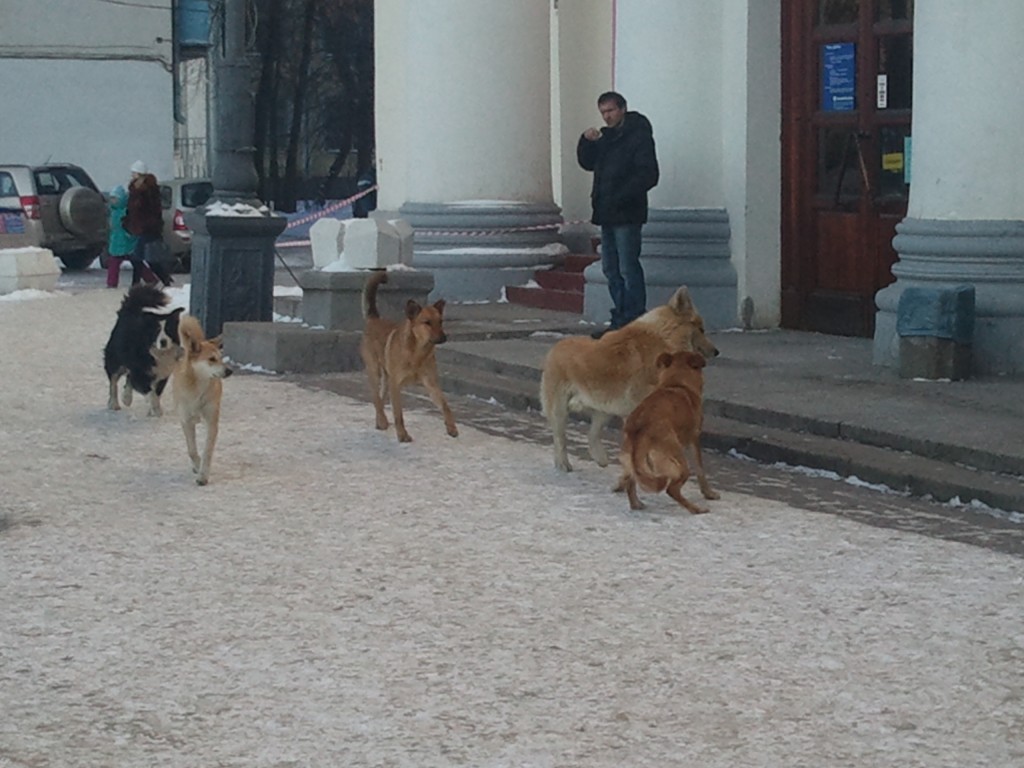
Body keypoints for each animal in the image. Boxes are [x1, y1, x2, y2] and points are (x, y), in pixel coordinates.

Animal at [104, 284, 185, 415]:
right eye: (157, 331)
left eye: (168, 329)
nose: (163, 341)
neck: (159, 353)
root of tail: (129, 310)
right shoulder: (140, 371)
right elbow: (150, 392)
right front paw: (155, 410)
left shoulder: (163, 373)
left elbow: (157, 392)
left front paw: (154, 410)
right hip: (115, 359)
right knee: (113, 381)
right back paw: (114, 403)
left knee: (128, 378)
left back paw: (126, 398)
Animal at [172, 313, 232, 487]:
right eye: (211, 359)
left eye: (221, 358)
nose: (229, 371)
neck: (197, 389)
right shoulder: (185, 421)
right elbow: (192, 450)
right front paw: (197, 466)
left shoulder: (211, 421)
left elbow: (207, 451)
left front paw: (203, 475)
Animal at [358, 272, 458, 444]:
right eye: (427, 322)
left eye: (440, 321)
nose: (444, 337)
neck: (417, 352)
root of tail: (374, 319)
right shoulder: (396, 385)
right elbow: (398, 414)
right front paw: (402, 435)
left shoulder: (431, 384)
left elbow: (445, 405)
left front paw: (451, 427)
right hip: (375, 371)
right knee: (376, 398)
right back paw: (383, 420)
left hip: (386, 379)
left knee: (381, 399)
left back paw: (380, 421)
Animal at [540, 286, 716, 473]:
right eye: (701, 329)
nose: (716, 351)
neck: (665, 337)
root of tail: (555, 347)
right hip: (560, 410)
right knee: (560, 438)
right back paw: (563, 463)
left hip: (605, 408)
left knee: (592, 434)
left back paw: (600, 458)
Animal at [614, 352, 720, 514]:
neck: (676, 383)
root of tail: (640, 430)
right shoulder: (694, 438)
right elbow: (700, 468)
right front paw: (709, 493)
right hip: (679, 463)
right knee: (672, 489)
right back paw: (695, 509)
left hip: (632, 462)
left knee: (631, 482)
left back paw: (636, 504)